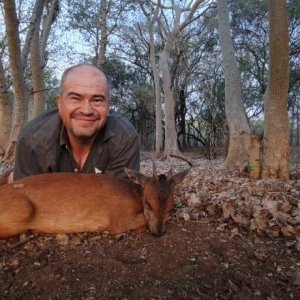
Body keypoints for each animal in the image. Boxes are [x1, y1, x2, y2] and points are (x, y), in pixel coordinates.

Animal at [0, 168, 189, 238]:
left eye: (171, 207)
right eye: (148, 204)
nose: (159, 232)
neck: (135, 194)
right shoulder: (119, 218)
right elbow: (140, 222)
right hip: (22, 208)